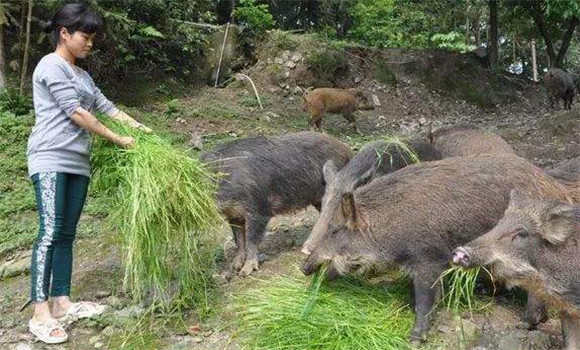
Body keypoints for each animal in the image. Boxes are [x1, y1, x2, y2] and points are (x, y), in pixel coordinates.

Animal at [202, 131, 352, 276]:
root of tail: (347, 150)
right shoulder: (234, 215)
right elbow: (238, 240)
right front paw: (234, 268)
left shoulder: (258, 210)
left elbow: (251, 239)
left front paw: (245, 272)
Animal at [302, 156, 572, 342]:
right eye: (322, 216)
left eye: (336, 229)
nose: (304, 265)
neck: (387, 227)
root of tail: (556, 187)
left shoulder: (429, 259)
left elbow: (425, 299)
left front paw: (414, 339)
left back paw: (524, 324)